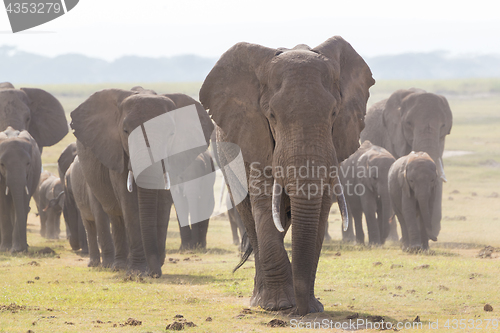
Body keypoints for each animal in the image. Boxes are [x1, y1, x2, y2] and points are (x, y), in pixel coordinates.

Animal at [70, 86, 213, 274]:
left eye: (172, 133)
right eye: (125, 131)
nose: (154, 273)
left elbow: (163, 202)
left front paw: (155, 267)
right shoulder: (116, 152)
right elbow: (129, 201)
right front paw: (138, 271)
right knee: (114, 214)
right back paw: (119, 266)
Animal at [199, 36, 376, 314]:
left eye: (334, 114)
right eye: (271, 115)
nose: (300, 311)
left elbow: (320, 208)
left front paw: (312, 307)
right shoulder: (256, 139)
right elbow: (264, 206)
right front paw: (278, 306)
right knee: (251, 217)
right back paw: (261, 301)